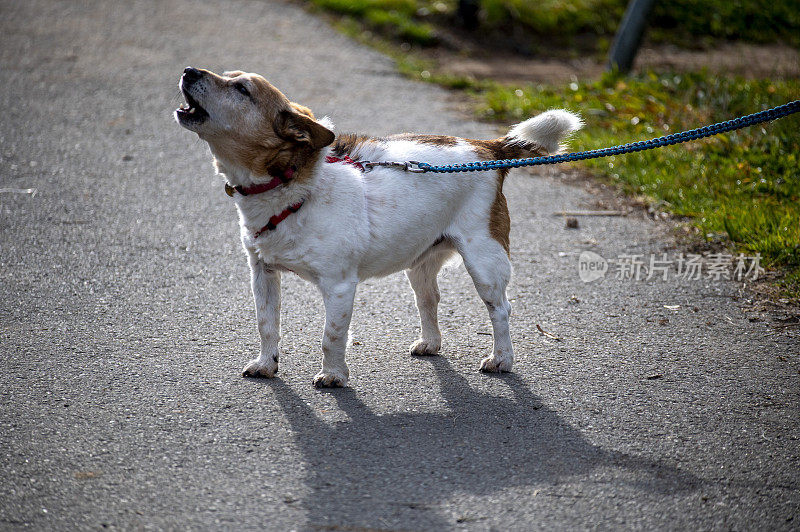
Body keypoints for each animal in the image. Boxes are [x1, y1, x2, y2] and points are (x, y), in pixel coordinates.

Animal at [173, 68, 580, 388]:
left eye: (242, 89)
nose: (189, 71)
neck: (290, 184)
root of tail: (488, 150)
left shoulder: (339, 285)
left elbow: (331, 336)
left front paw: (333, 375)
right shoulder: (262, 273)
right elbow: (266, 324)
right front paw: (265, 364)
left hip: (485, 262)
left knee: (501, 310)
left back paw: (501, 359)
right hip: (421, 263)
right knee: (429, 300)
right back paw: (430, 343)